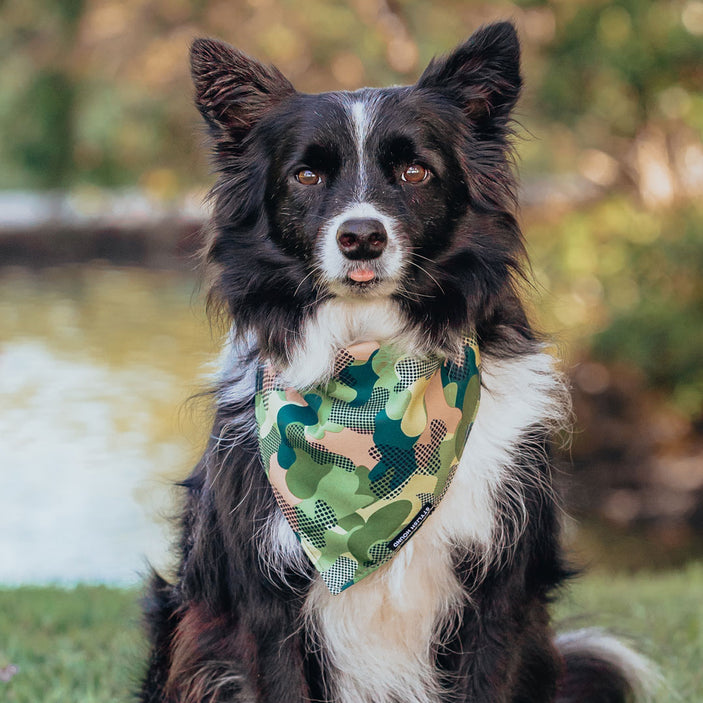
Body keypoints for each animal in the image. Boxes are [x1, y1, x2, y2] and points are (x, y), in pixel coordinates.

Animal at [140, 22, 656, 703]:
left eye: (415, 171)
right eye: (306, 176)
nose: (362, 237)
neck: (368, 366)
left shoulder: (500, 591)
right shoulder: (265, 599)